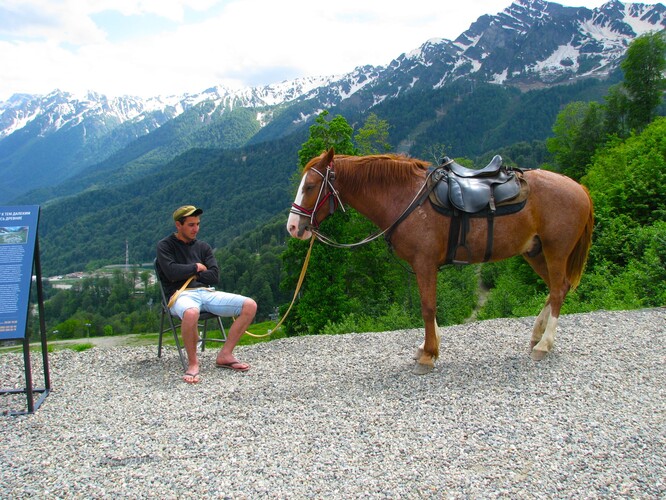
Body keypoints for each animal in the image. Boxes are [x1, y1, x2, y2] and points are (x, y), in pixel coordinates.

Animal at [286, 146, 592, 374]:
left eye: (310, 186)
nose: (293, 227)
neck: (406, 198)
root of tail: (579, 188)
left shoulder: (424, 263)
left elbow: (427, 307)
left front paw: (428, 355)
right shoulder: (424, 266)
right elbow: (430, 307)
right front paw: (429, 348)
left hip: (555, 251)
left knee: (557, 290)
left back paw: (544, 345)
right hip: (535, 252)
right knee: (558, 288)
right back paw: (537, 336)